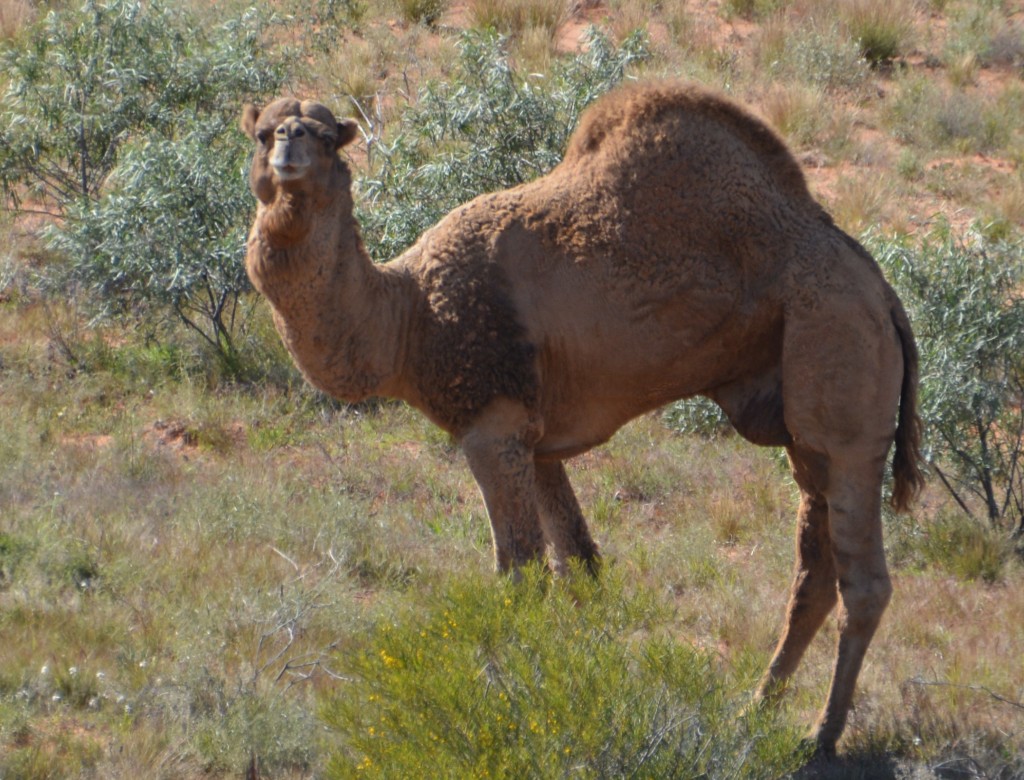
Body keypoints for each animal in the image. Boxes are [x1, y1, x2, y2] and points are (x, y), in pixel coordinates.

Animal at [241, 80, 929, 753]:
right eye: (263, 132)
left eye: (328, 137)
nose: (290, 143)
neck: (409, 319)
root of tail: (884, 293)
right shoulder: (537, 443)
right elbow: (582, 565)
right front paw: (579, 676)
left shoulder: (493, 428)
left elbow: (520, 575)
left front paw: (502, 704)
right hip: (802, 413)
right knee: (815, 570)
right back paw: (754, 711)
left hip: (836, 352)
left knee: (864, 579)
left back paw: (823, 734)